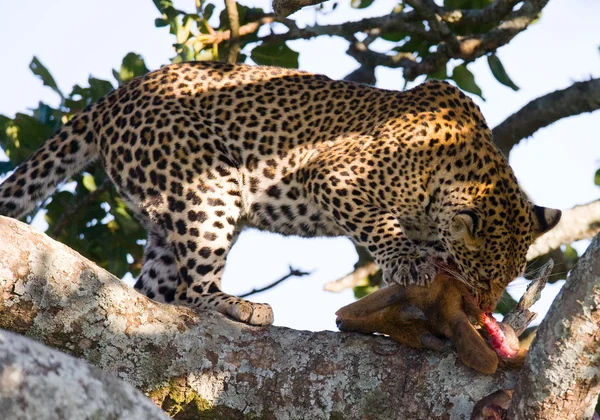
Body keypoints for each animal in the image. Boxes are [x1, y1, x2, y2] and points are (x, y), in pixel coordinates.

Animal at [0, 61, 564, 324]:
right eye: (484, 276)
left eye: (505, 279)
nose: (484, 306)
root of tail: (112, 98)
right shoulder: (333, 174)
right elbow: (380, 224)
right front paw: (407, 263)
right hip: (209, 185)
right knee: (194, 287)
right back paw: (238, 306)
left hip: (166, 217)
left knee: (159, 291)